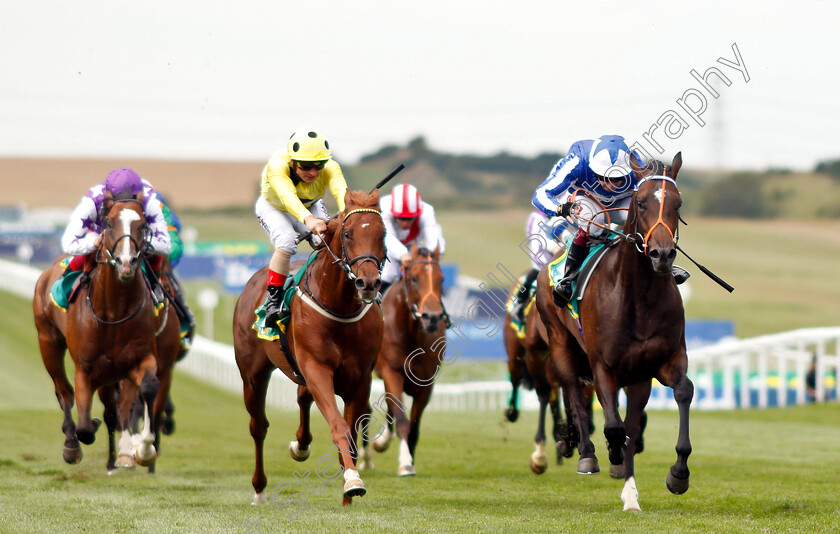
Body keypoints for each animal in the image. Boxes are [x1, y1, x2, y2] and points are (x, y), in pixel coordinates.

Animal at [33, 193, 161, 474]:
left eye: (143, 225)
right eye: (109, 224)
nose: (126, 263)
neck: (114, 311)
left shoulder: (139, 359)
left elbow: (148, 387)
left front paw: (144, 451)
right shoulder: (86, 369)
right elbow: (84, 425)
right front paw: (84, 430)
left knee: (111, 410)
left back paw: (113, 459)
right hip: (48, 342)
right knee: (64, 393)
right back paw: (72, 444)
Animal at [231, 191, 386, 508]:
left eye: (383, 234)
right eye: (348, 234)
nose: (368, 283)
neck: (339, 307)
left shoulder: (360, 378)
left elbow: (350, 432)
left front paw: (349, 486)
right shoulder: (317, 368)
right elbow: (339, 426)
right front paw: (352, 482)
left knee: (302, 398)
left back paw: (300, 446)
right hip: (252, 374)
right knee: (258, 426)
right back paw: (259, 489)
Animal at [536, 153, 692, 512]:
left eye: (678, 203)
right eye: (642, 201)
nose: (662, 254)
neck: (639, 300)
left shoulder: (662, 363)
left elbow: (682, 393)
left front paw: (678, 473)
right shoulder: (602, 367)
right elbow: (612, 425)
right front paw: (608, 452)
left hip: (636, 376)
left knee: (629, 422)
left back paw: (629, 491)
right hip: (560, 342)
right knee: (574, 395)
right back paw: (587, 454)